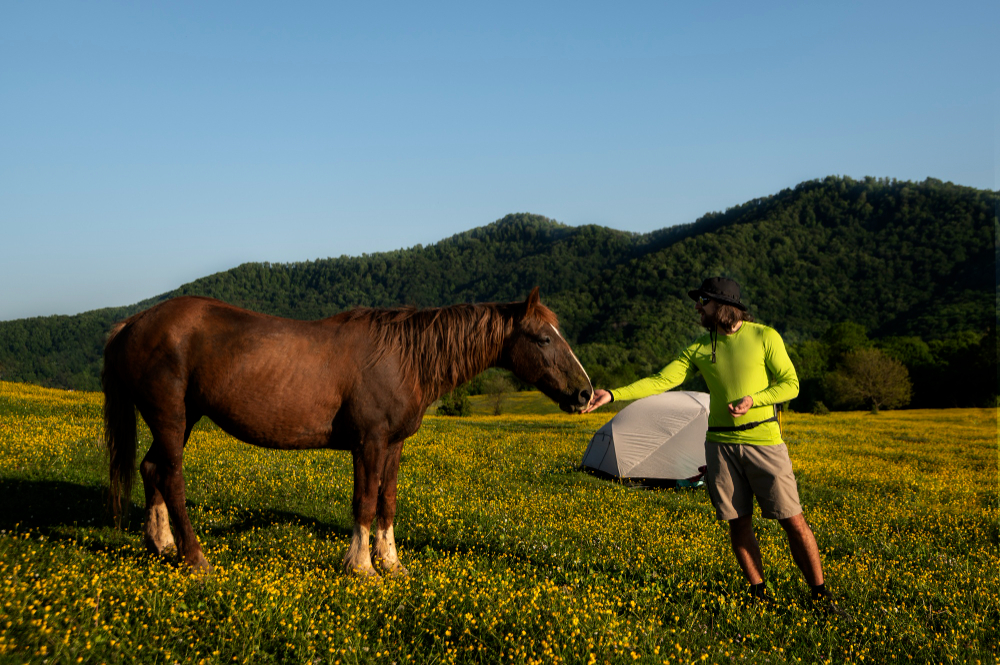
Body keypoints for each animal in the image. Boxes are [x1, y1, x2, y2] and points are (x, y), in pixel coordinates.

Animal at [102, 288, 592, 572]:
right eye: (544, 339)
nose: (586, 393)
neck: (403, 357)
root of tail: (134, 322)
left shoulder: (393, 445)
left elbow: (387, 502)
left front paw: (391, 562)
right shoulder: (368, 443)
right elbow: (364, 502)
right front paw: (362, 566)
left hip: (182, 418)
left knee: (151, 469)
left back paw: (160, 544)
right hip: (171, 416)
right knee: (171, 477)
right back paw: (194, 556)